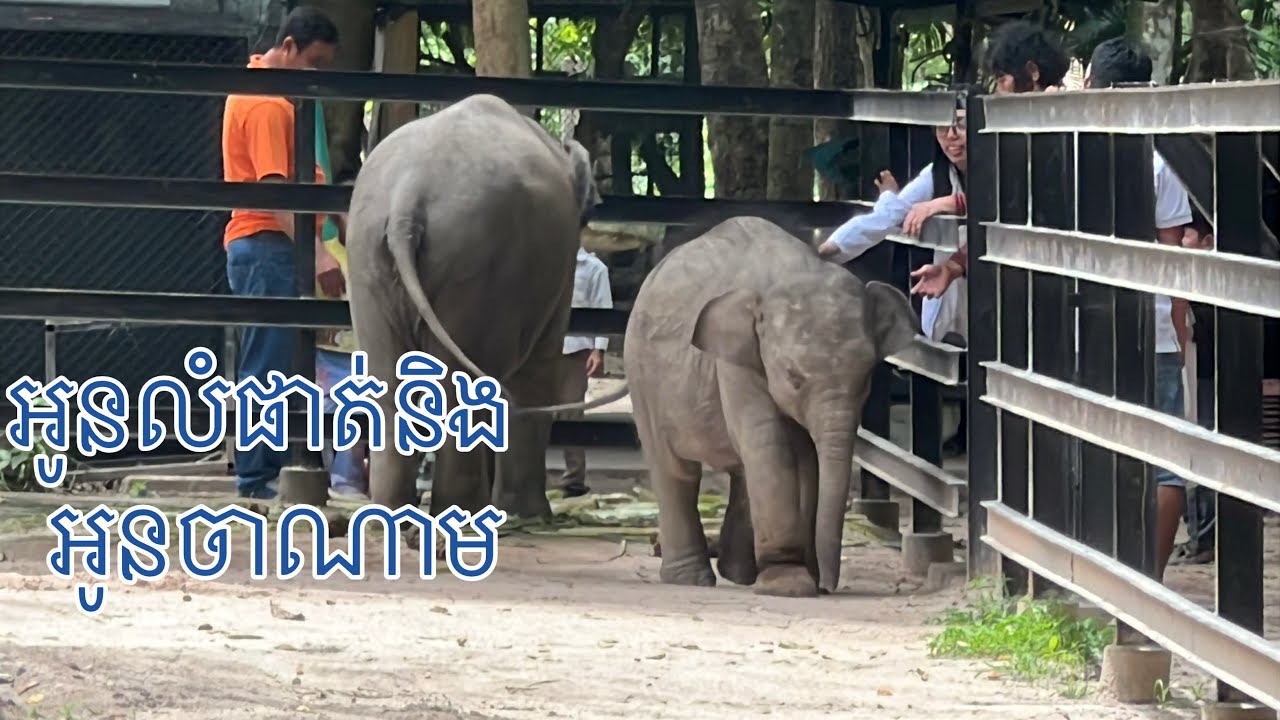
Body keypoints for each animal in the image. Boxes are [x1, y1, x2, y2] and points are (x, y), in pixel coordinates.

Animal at [344, 93, 620, 520]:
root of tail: (408, 195)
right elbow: (538, 364)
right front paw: (530, 514)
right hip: (475, 262)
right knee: (469, 384)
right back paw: (465, 510)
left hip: (368, 258)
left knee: (386, 382)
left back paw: (391, 514)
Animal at [622, 216, 919, 597]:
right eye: (793, 376)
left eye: (867, 376)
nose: (828, 586)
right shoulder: (735, 362)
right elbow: (771, 445)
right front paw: (789, 583)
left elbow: (805, 459)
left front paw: (801, 575)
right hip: (642, 375)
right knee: (676, 470)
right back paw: (691, 579)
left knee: (742, 469)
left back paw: (738, 573)